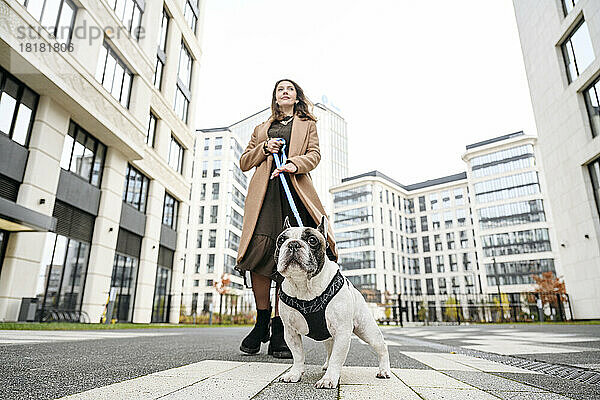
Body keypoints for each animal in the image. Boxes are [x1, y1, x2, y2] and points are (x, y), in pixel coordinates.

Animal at [274, 217, 392, 390]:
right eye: (281, 240)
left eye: (312, 240)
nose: (293, 244)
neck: (304, 286)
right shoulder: (290, 332)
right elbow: (298, 355)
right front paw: (294, 373)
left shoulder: (342, 331)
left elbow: (337, 358)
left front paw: (328, 379)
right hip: (328, 336)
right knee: (330, 349)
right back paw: (326, 365)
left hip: (367, 330)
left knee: (382, 347)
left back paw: (384, 370)